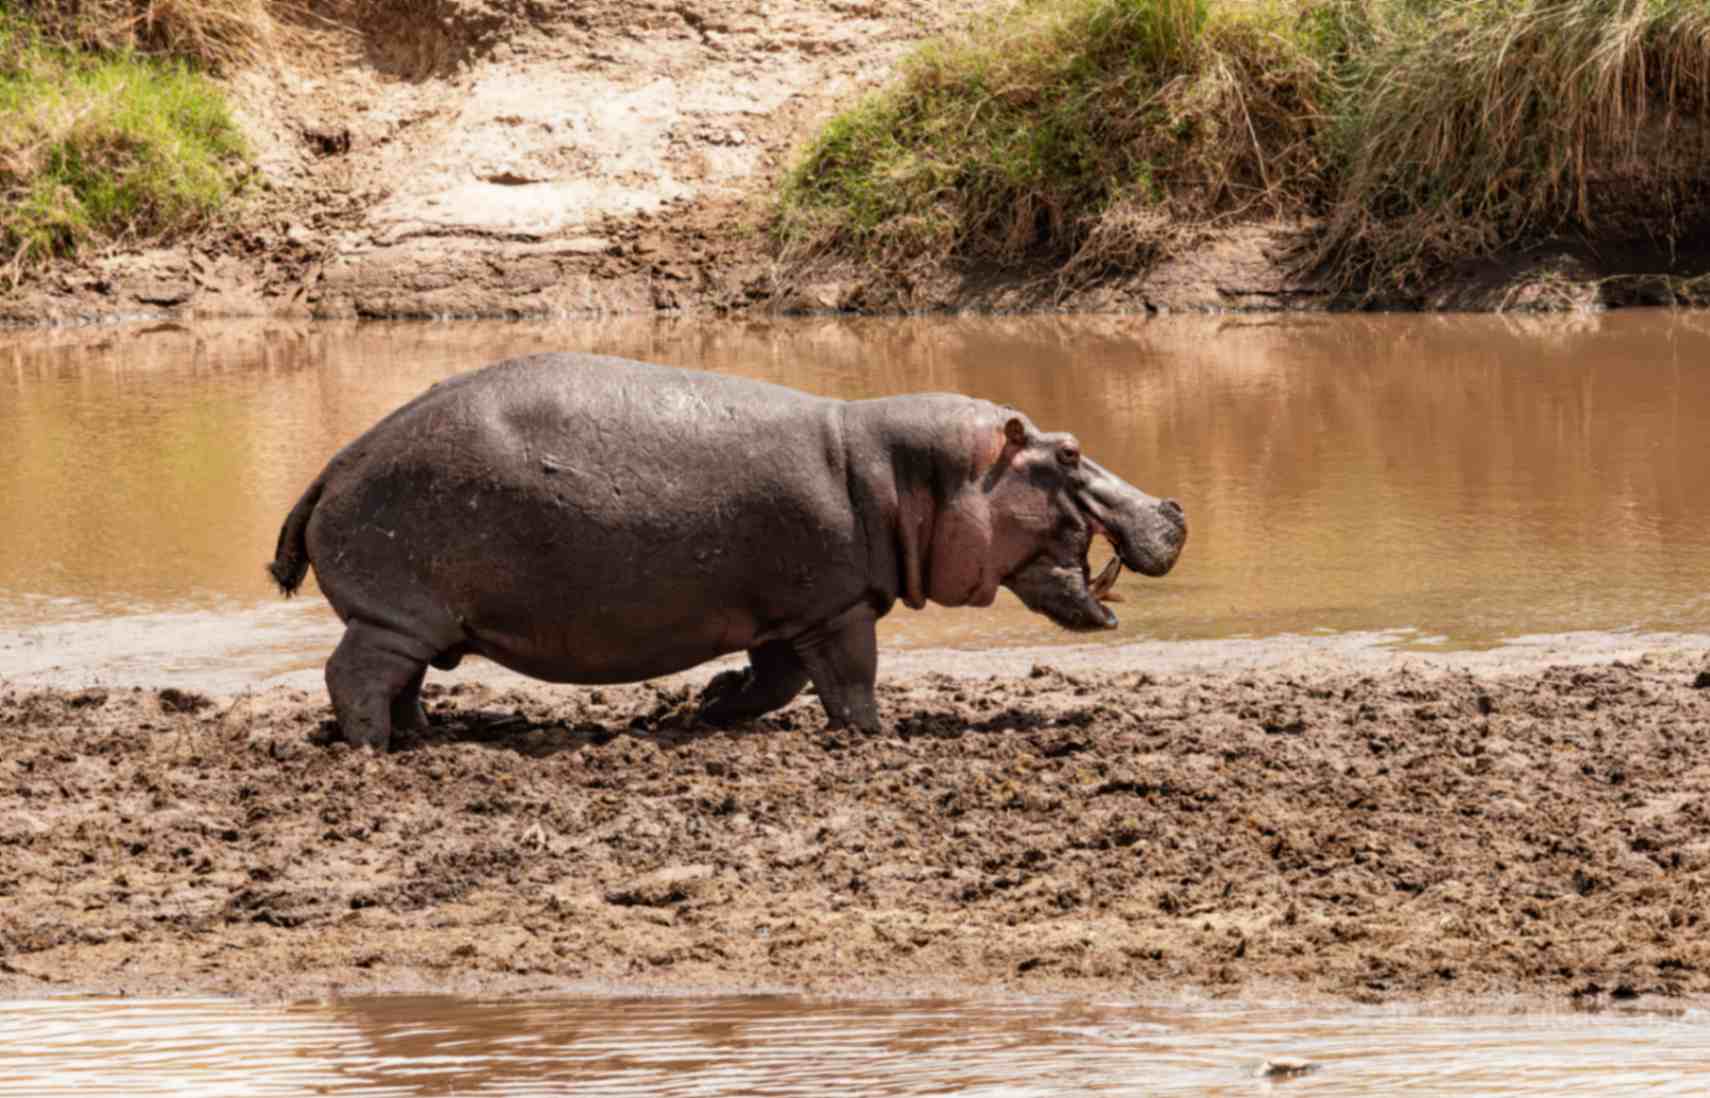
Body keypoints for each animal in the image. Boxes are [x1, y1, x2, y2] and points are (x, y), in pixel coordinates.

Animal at [268, 353, 1185, 748]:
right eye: (1070, 452)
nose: (1174, 506)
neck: (909, 474)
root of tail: (335, 461)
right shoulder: (835, 607)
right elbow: (850, 679)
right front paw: (874, 738)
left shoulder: (786, 613)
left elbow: (772, 683)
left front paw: (705, 704)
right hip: (397, 613)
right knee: (354, 676)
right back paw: (375, 750)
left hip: (419, 620)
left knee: (401, 682)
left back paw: (420, 737)